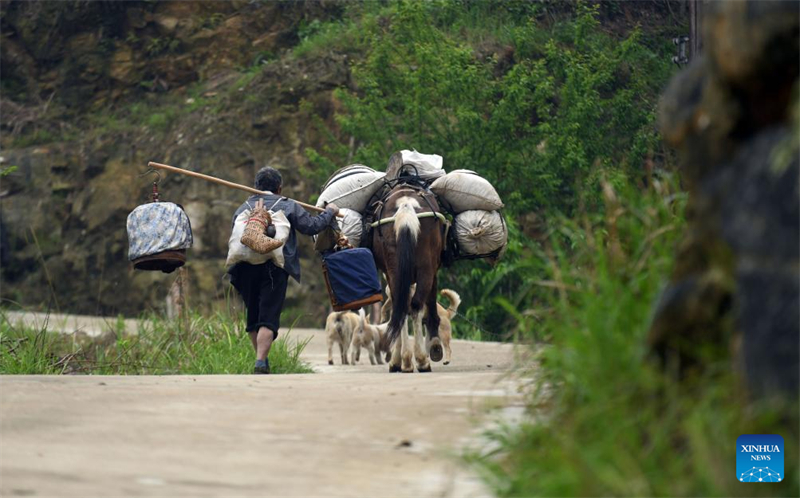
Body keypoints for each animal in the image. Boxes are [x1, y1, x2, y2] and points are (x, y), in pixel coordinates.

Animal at [372, 185, 446, 372]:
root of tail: (406, 206)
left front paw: (397, 360)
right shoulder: (434, 269)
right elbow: (430, 301)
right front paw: (434, 346)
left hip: (395, 267)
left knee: (403, 305)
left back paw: (405, 360)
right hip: (426, 267)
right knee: (416, 305)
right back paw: (420, 360)